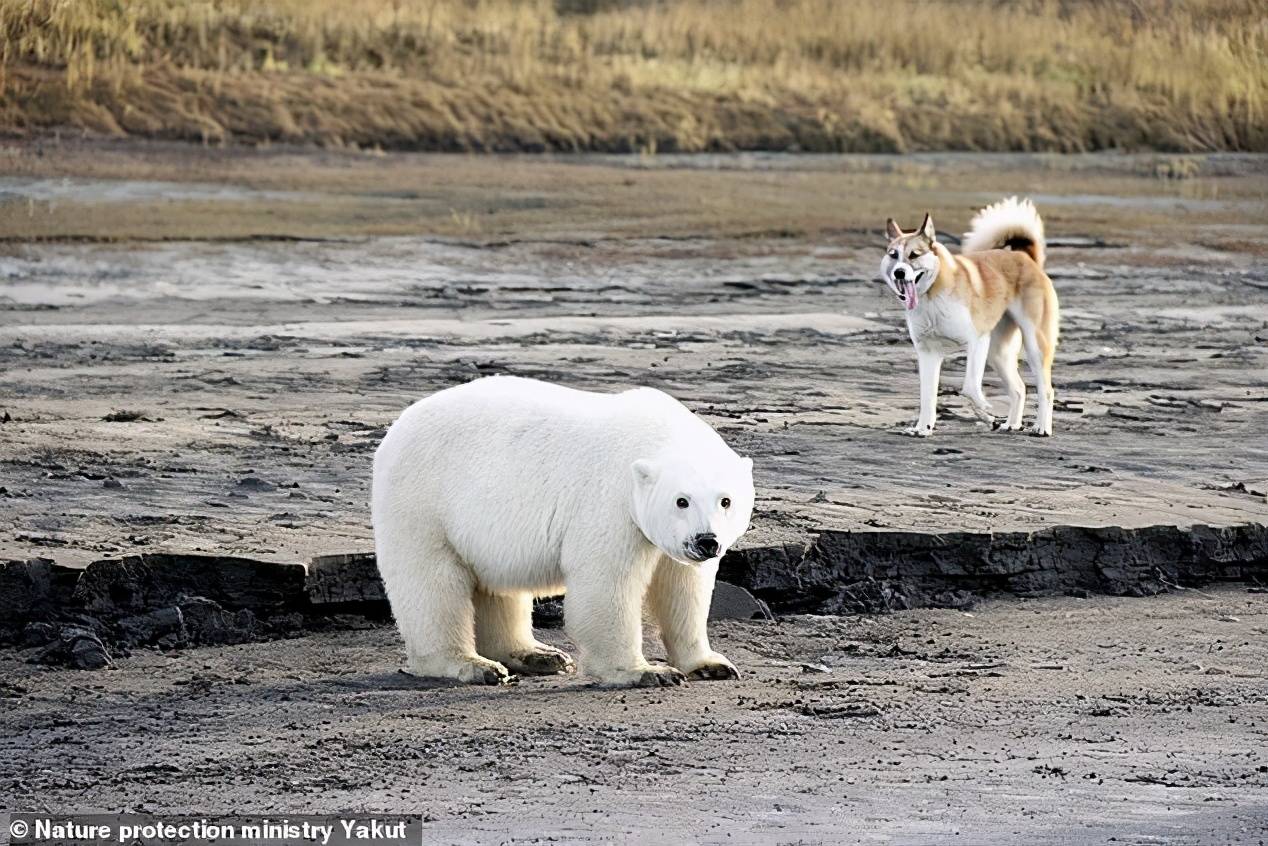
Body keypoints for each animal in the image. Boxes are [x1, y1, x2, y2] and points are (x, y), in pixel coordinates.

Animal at [372, 377, 750, 689]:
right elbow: (607, 584)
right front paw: (645, 672)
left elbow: (683, 589)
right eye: (681, 500)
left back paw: (538, 655)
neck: (653, 437)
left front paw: (711, 664)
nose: (707, 541)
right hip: (423, 502)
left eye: (726, 500)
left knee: (497, 587)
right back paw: (472, 665)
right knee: (432, 584)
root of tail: (398, 428)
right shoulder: (610, 502)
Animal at [882, 196, 1060, 441]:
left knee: (1046, 390)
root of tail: (1024, 257)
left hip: (1034, 345)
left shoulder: (977, 341)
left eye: (914, 255)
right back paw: (1011, 425)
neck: (932, 296)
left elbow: (968, 387)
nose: (899, 272)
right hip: (998, 353)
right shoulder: (928, 353)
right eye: (893, 255)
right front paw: (923, 428)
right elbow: (927, 397)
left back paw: (1042, 427)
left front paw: (985, 410)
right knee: (1019, 389)